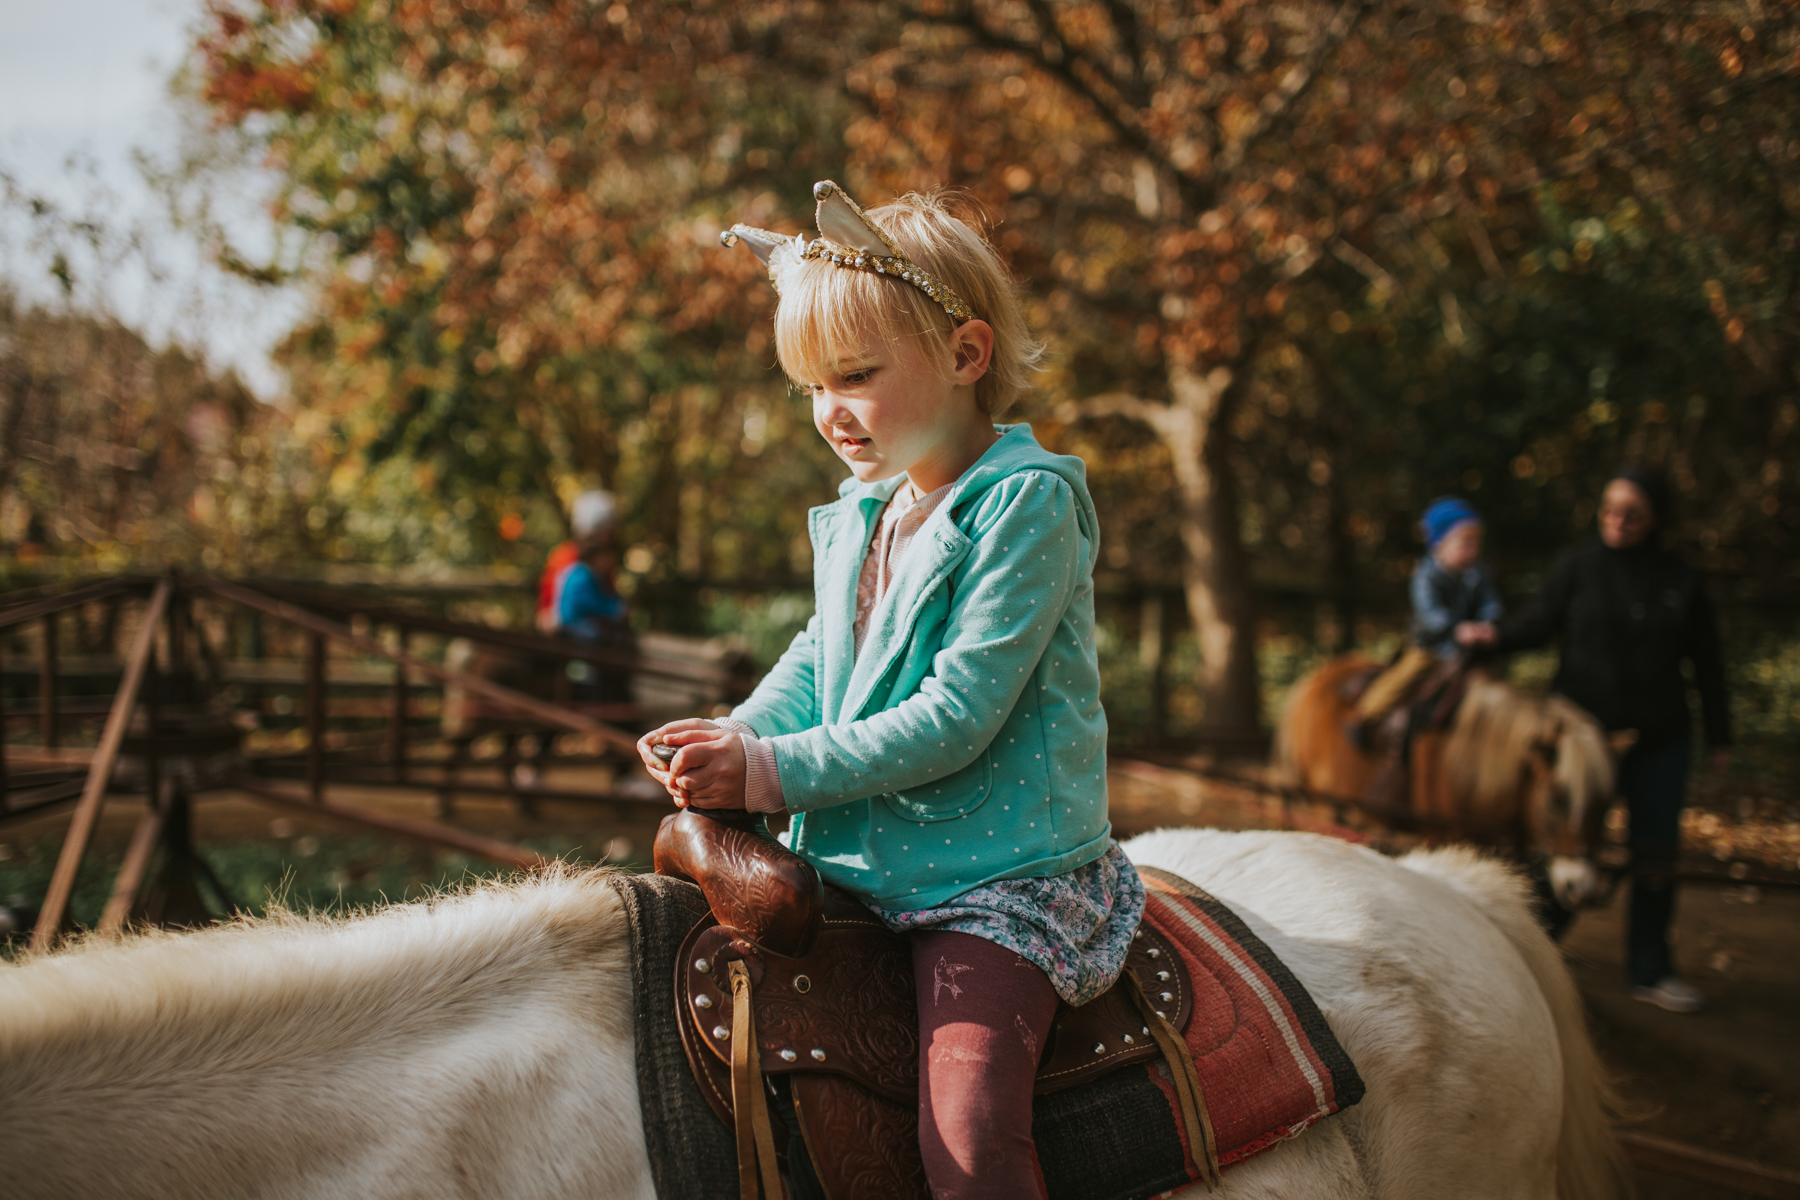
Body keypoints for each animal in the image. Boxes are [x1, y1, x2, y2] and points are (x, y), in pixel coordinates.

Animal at [1274, 662, 1627, 906]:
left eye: (1606, 805)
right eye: (1557, 798)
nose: (1581, 888)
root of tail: (1317, 677)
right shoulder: (1442, 832)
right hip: (1322, 798)